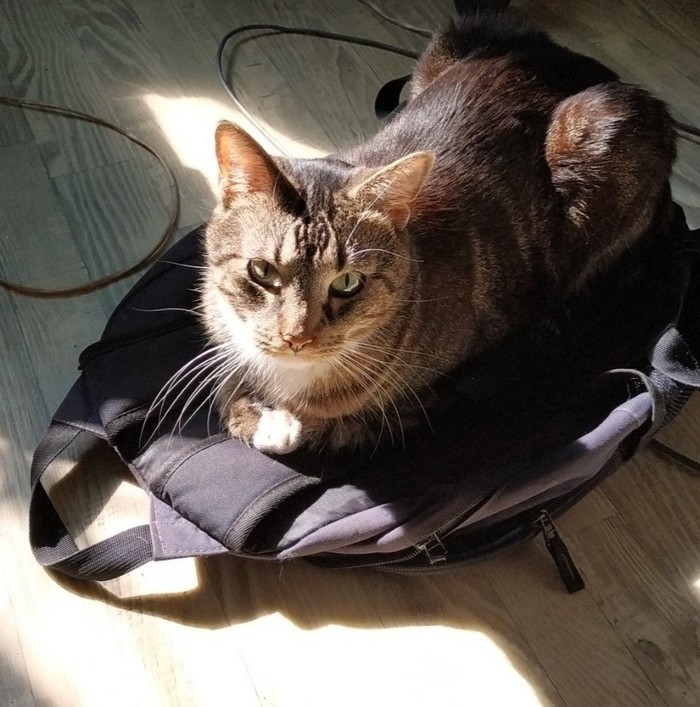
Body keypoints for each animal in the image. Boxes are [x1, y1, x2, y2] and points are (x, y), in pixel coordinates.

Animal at [199, 13, 676, 455]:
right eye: (262, 271)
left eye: (348, 282)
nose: (297, 338)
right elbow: (229, 384)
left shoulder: (433, 396)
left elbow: (345, 423)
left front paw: (283, 424)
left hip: (607, 125)